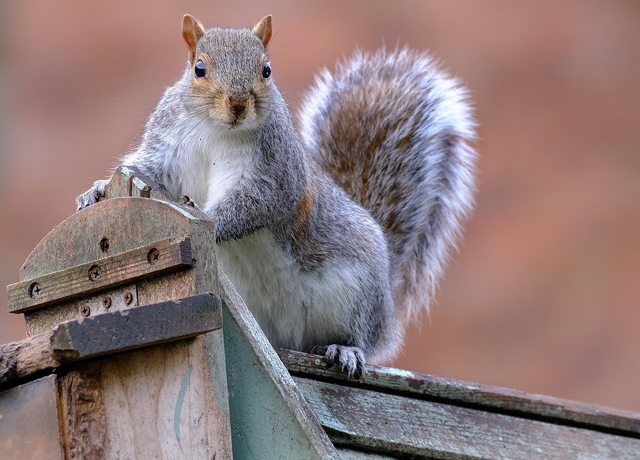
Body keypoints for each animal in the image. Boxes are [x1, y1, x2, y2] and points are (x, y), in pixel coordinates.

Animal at [76, 14, 476, 380]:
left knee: (361, 335)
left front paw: (208, 218)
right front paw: (96, 191)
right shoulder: (168, 147)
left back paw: (345, 349)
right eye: (199, 69)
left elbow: (256, 202)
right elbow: (148, 169)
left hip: (358, 292)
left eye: (266, 70)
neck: (214, 130)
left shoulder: (274, 171)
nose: (238, 104)